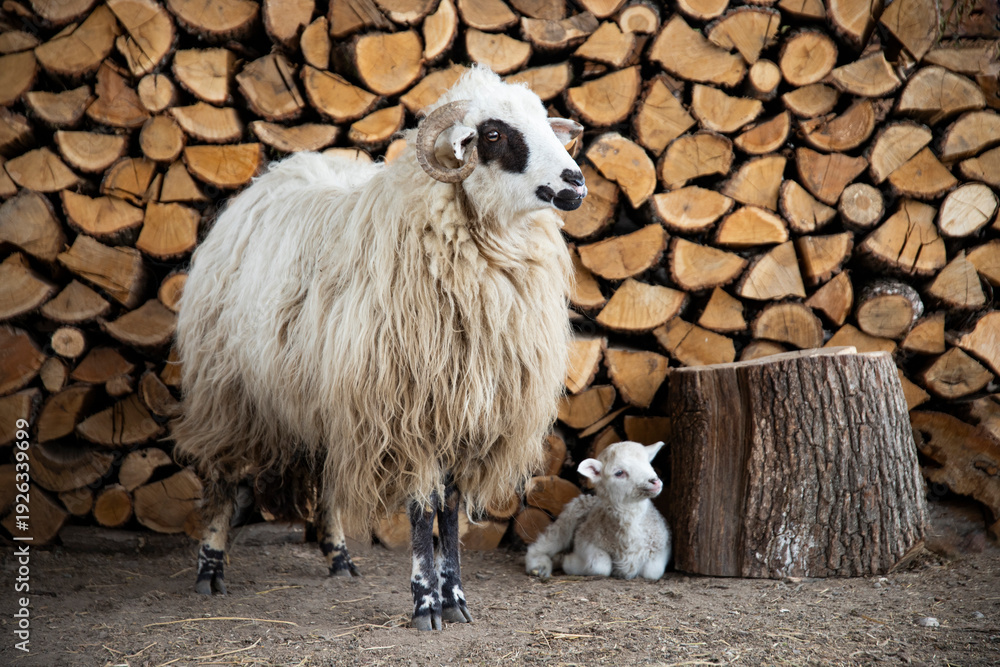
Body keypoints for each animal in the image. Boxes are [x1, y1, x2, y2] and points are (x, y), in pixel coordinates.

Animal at [171, 65, 586, 631]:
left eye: (547, 123)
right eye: (494, 134)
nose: (576, 182)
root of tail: (274, 174)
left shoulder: (462, 416)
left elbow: (449, 512)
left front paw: (455, 599)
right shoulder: (406, 412)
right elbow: (420, 510)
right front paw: (425, 603)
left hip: (321, 396)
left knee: (326, 478)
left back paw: (340, 558)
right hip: (227, 389)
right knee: (223, 476)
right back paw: (209, 570)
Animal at [525, 441, 671, 580]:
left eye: (648, 463)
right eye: (619, 473)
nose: (655, 481)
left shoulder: (663, 545)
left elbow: (652, 572)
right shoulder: (585, 540)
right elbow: (600, 565)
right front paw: (568, 561)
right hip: (568, 518)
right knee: (543, 544)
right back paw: (540, 566)